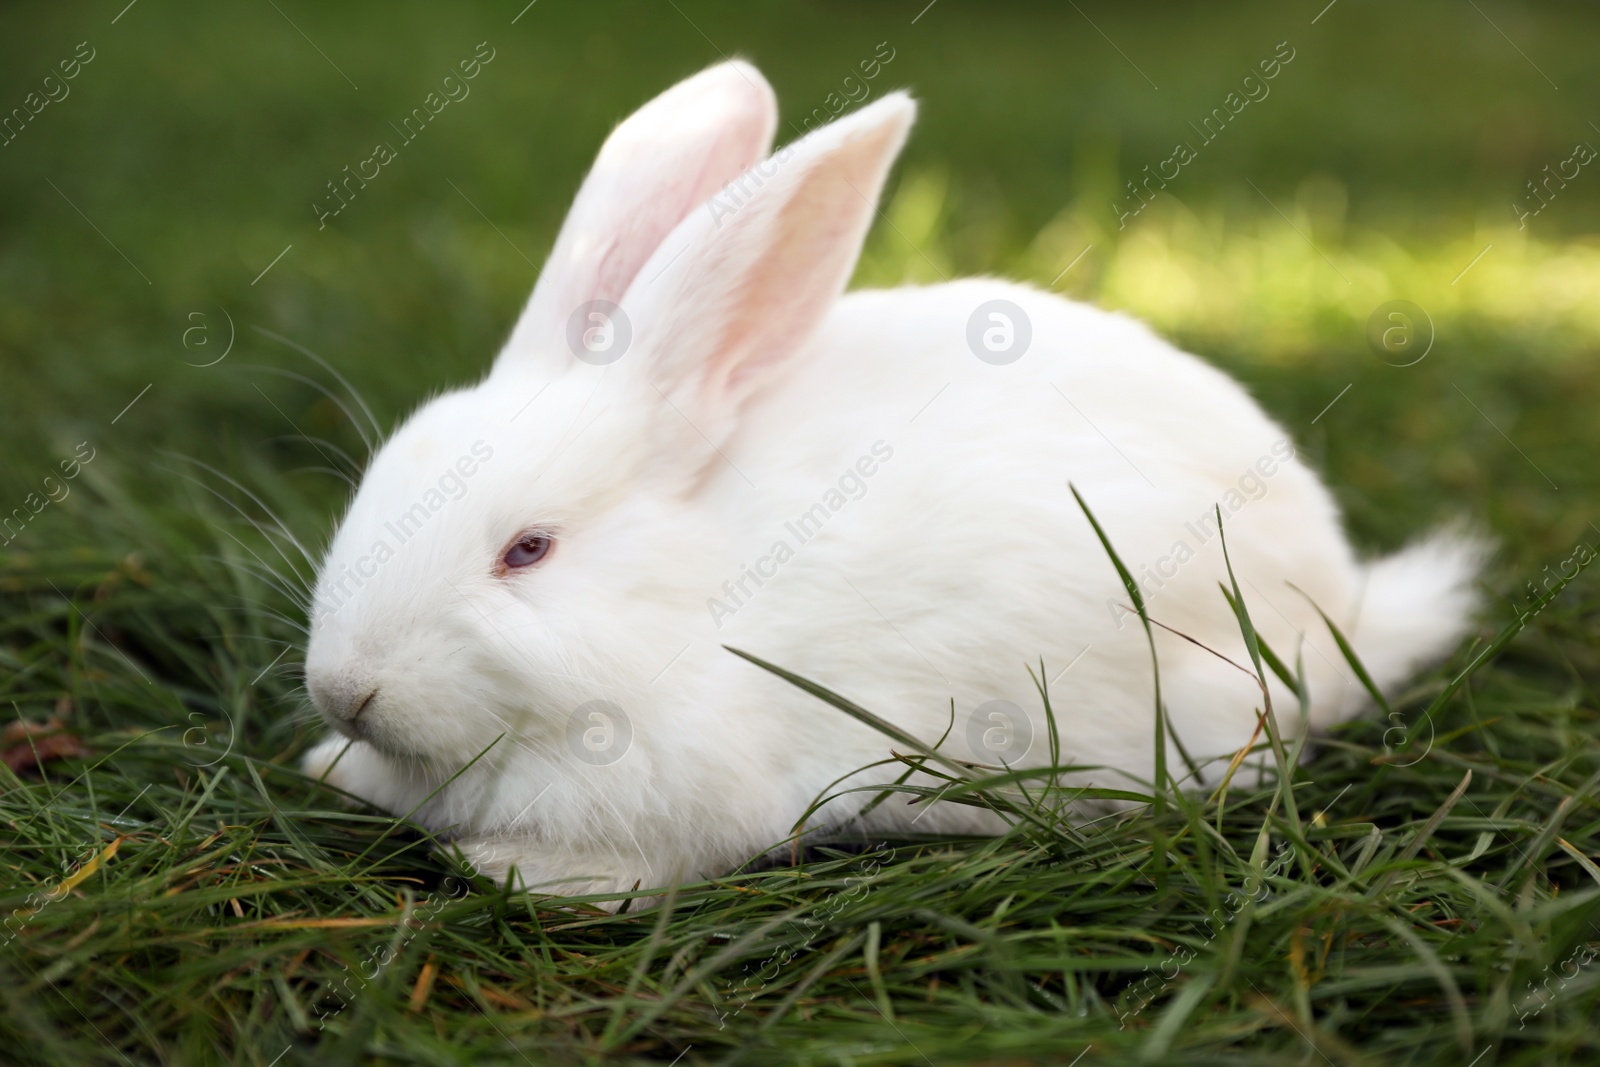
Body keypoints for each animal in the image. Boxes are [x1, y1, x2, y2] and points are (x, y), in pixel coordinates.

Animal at [302, 60, 1484, 902]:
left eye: (529, 550)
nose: (342, 689)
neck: (680, 605)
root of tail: (1344, 605)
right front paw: (330, 768)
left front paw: (503, 868)